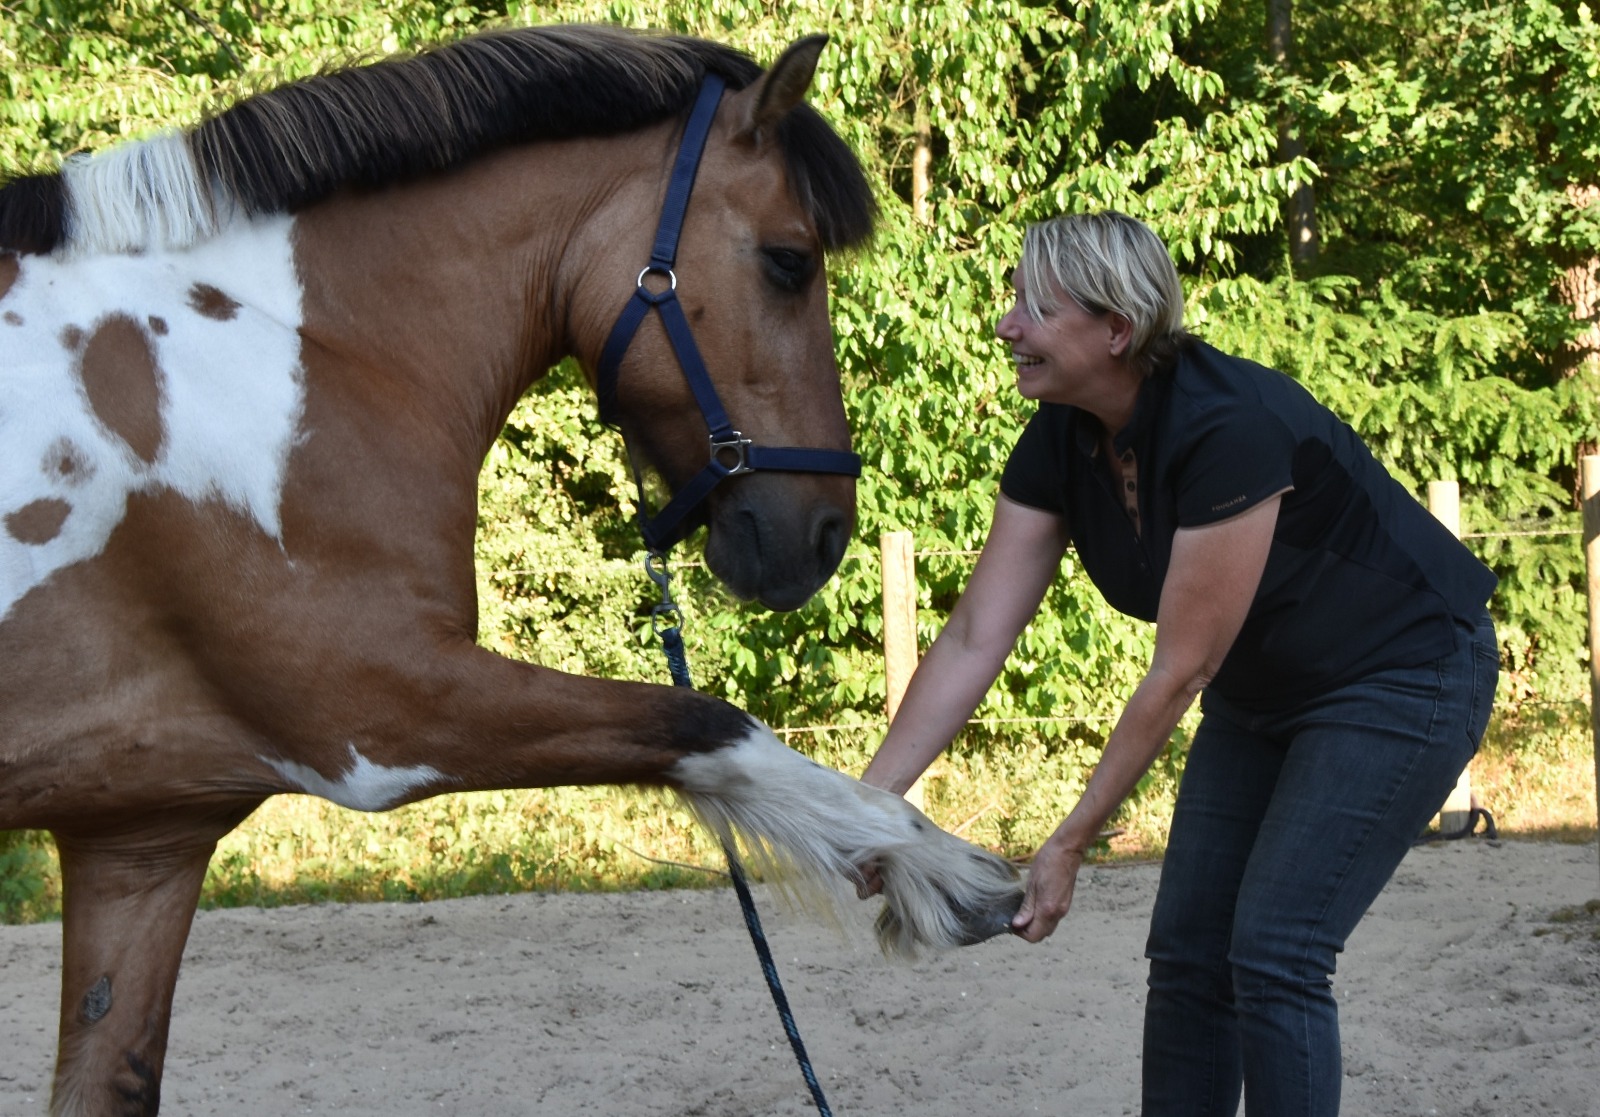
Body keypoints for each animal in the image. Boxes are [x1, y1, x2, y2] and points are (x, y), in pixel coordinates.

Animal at [0, 24, 1024, 1117]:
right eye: (789, 262)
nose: (824, 530)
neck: (289, 355)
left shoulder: (141, 836)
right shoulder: (378, 710)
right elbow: (707, 724)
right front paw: (941, 873)